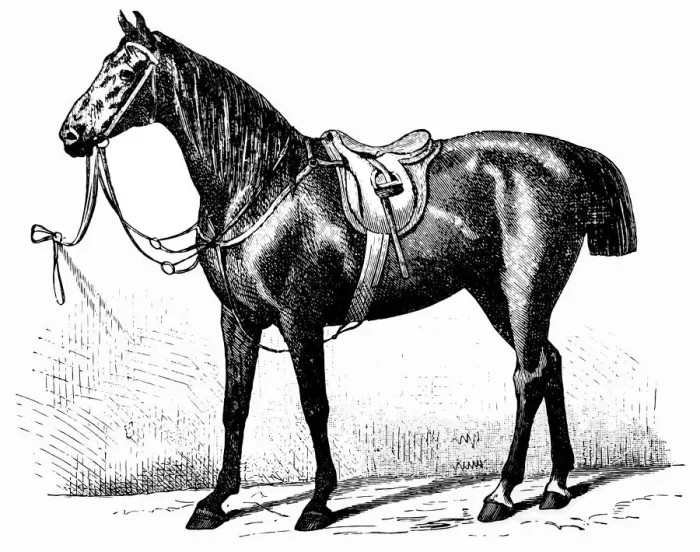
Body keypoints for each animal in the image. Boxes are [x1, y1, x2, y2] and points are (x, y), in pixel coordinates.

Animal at [57, 12, 637, 531]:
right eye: (106, 63)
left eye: (129, 69)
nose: (72, 132)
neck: (258, 185)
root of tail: (570, 156)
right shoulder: (237, 321)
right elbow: (234, 407)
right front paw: (214, 502)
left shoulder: (300, 322)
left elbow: (314, 405)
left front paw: (317, 503)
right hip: (494, 295)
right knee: (548, 364)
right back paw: (556, 486)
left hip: (524, 292)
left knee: (528, 375)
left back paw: (501, 493)